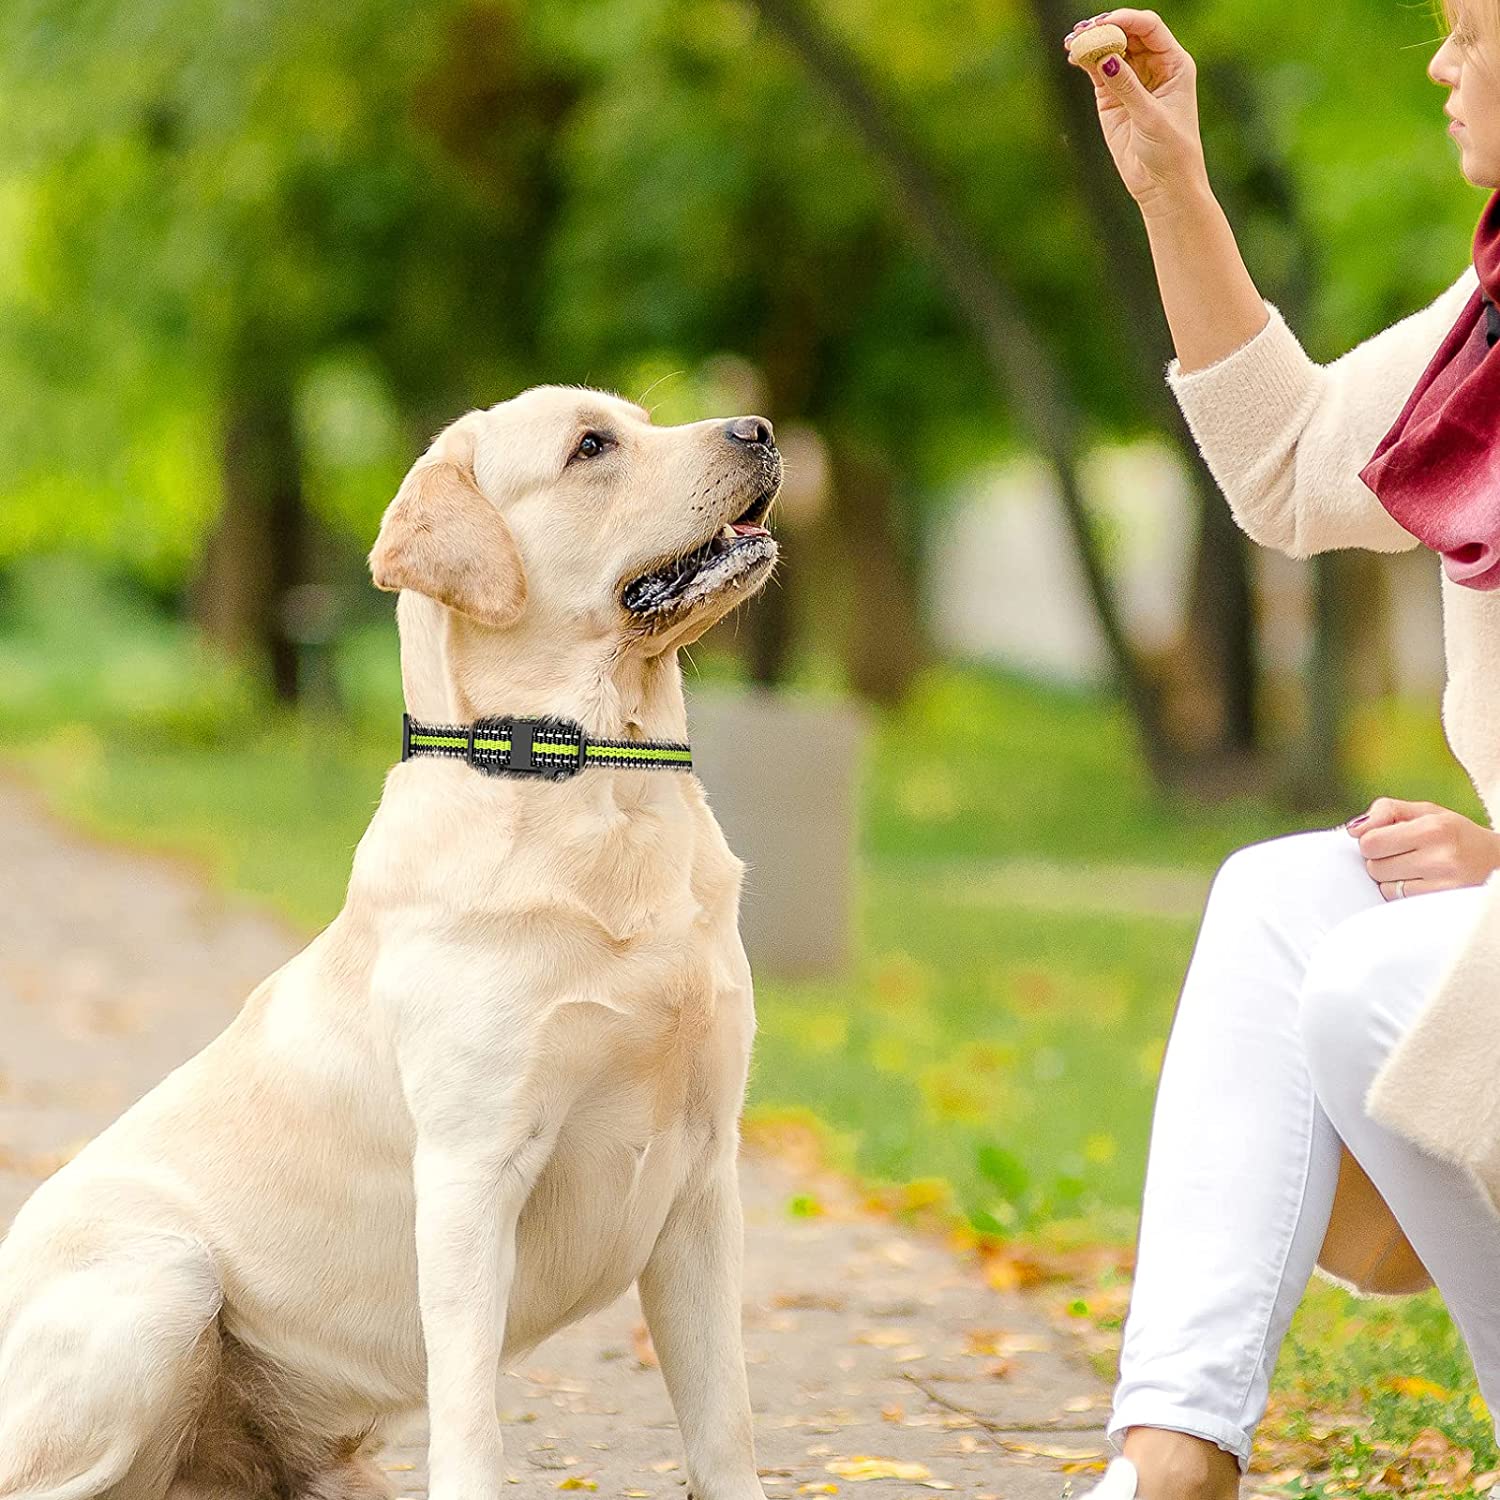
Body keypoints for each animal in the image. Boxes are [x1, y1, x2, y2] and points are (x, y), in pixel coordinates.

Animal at [2, 387, 786, 1500]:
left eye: (639, 419)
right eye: (591, 446)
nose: (760, 430)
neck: (602, 782)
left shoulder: (706, 1176)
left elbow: (724, 1424)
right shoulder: (470, 1169)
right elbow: (469, 1421)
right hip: (161, 1281)